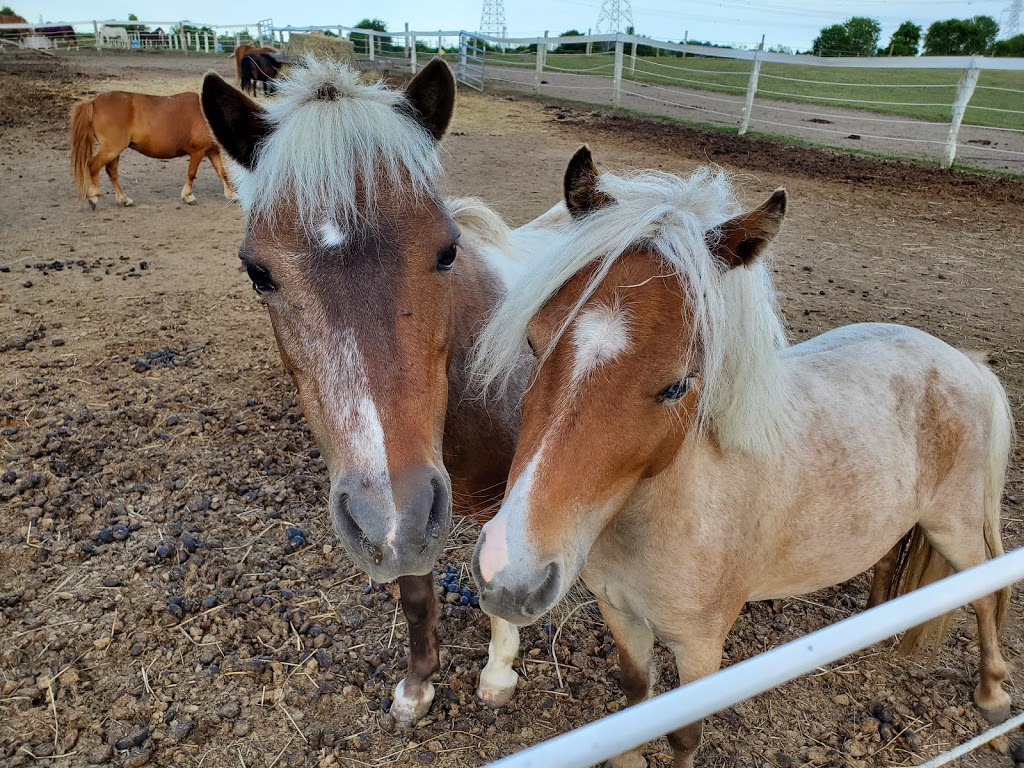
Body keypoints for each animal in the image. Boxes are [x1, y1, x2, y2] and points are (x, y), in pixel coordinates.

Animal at [70, 91, 234, 208]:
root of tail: (93, 102)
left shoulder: (212, 152)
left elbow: (222, 172)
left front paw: (232, 195)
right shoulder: (197, 152)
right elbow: (191, 174)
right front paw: (188, 196)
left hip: (114, 151)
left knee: (112, 172)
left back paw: (124, 200)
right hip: (112, 149)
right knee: (93, 166)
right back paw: (94, 197)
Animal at [200, 58, 569, 729]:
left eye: (447, 251)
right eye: (258, 272)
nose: (391, 513)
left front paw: (497, 676)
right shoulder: (411, 515)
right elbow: (416, 593)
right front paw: (417, 688)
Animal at [473, 145, 1015, 768]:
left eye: (679, 385)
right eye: (533, 342)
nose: (509, 573)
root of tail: (962, 360)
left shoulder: (701, 645)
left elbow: (684, 735)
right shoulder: (622, 615)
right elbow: (632, 701)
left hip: (955, 526)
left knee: (987, 593)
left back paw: (993, 694)